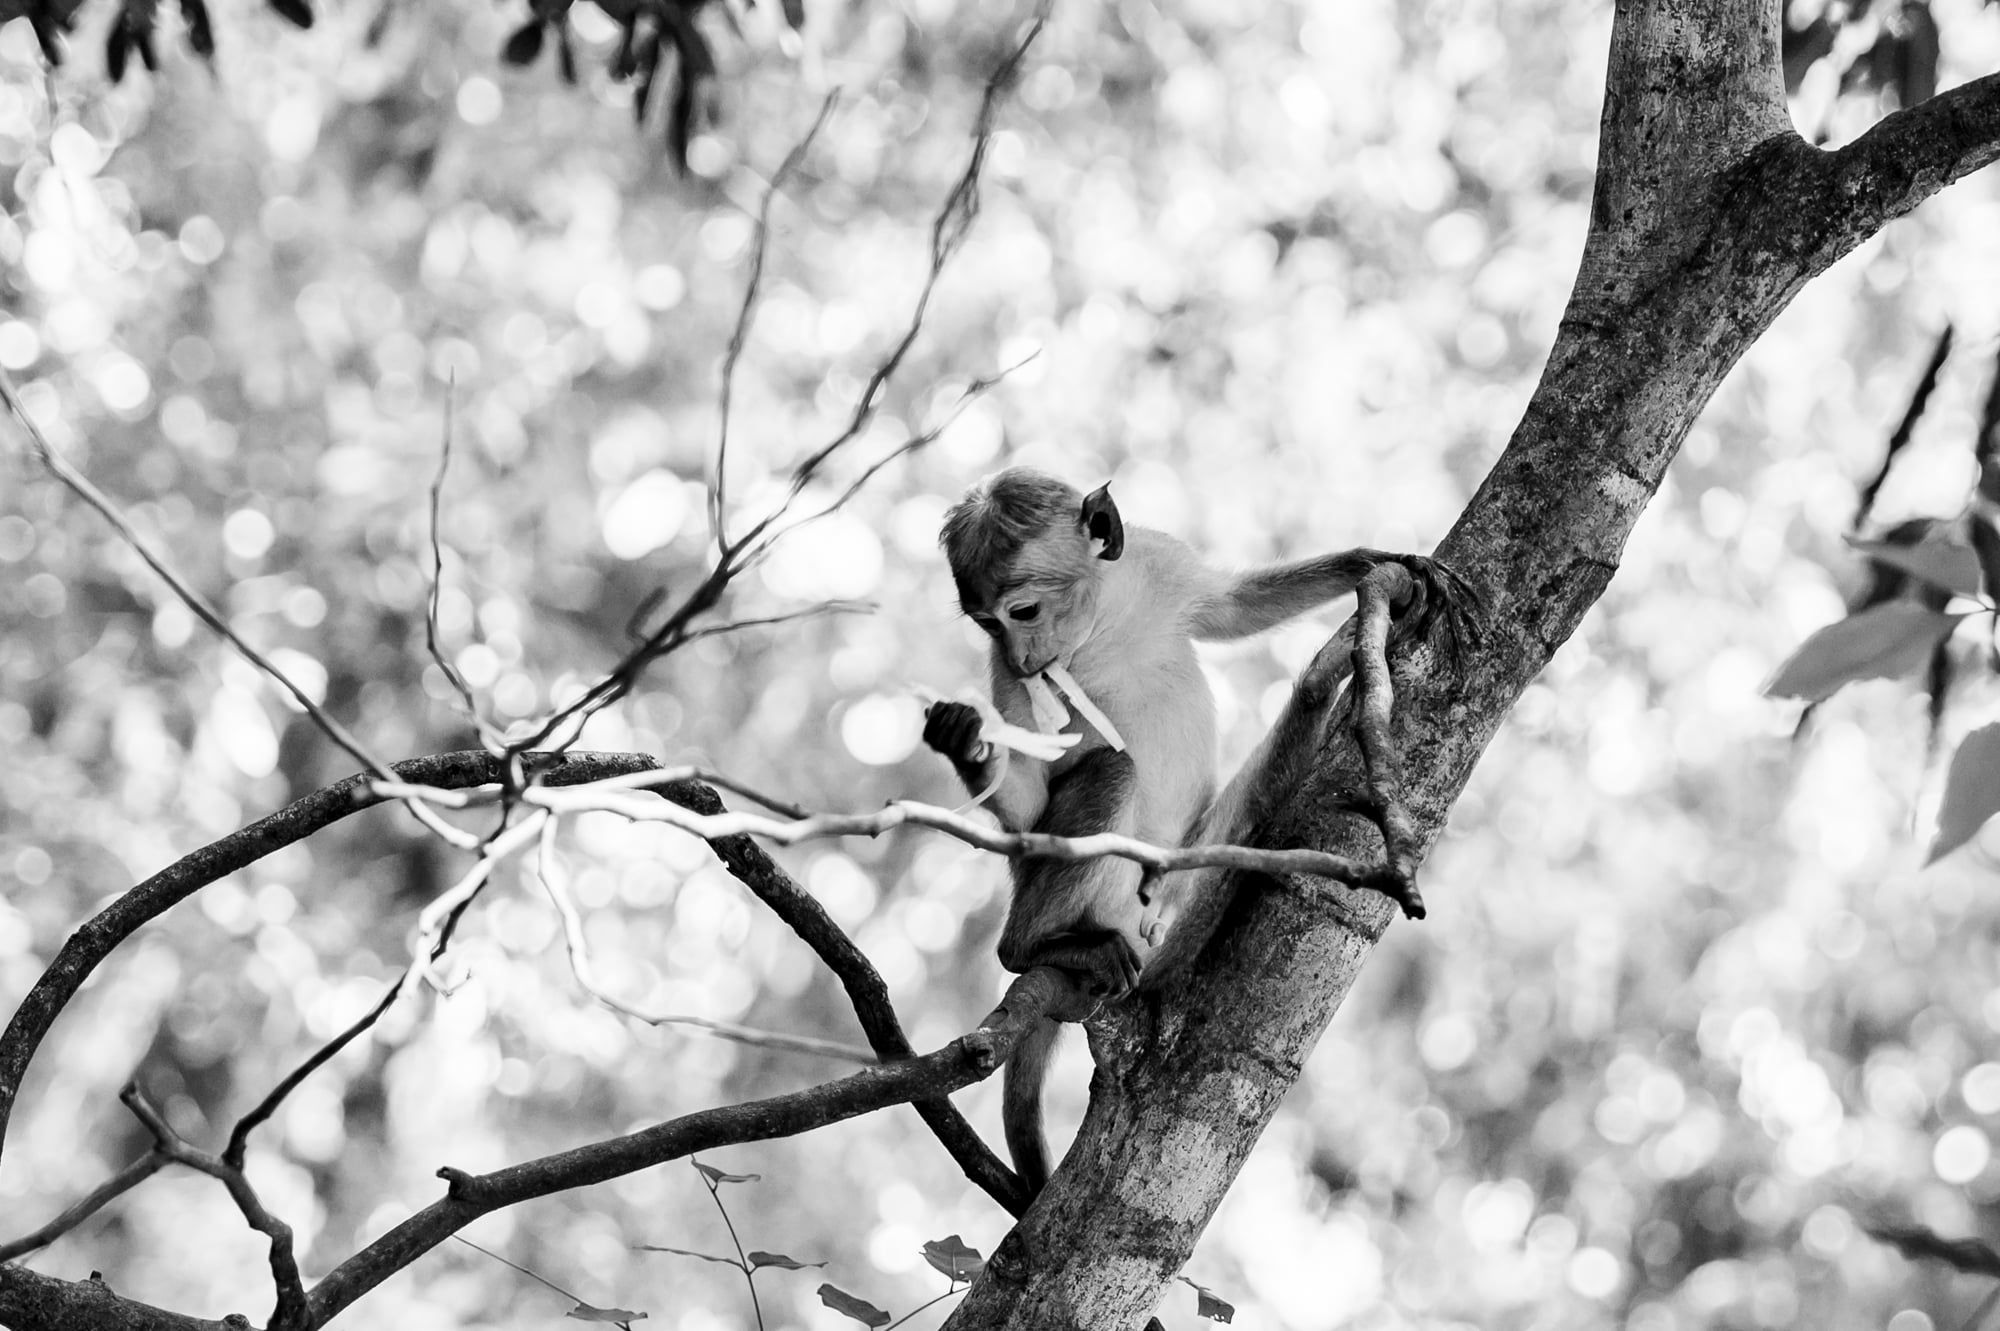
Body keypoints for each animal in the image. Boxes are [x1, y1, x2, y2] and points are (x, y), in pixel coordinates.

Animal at [923, 466, 1473, 1194]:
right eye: (989, 623)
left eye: (1023, 612)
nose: (1019, 656)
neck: (1102, 621)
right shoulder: (1012, 680)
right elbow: (1032, 803)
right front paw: (966, 742)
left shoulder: (1160, 562)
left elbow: (1235, 606)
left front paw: (1378, 561)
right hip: (1066, 884)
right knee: (1112, 771)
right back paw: (1036, 947)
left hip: (1183, 879)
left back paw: (1322, 679)